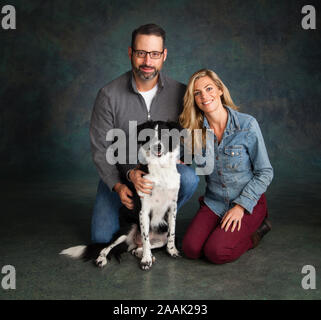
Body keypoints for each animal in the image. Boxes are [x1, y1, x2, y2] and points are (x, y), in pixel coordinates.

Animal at [58, 120, 181, 270]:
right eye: (149, 136)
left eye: (165, 135)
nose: (157, 146)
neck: (160, 168)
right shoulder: (143, 210)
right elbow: (146, 238)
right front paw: (146, 260)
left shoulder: (172, 207)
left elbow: (172, 232)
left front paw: (171, 250)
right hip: (127, 229)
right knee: (108, 247)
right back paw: (102, 259)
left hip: (160, 235)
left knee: (141, 247)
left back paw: (140, 252)